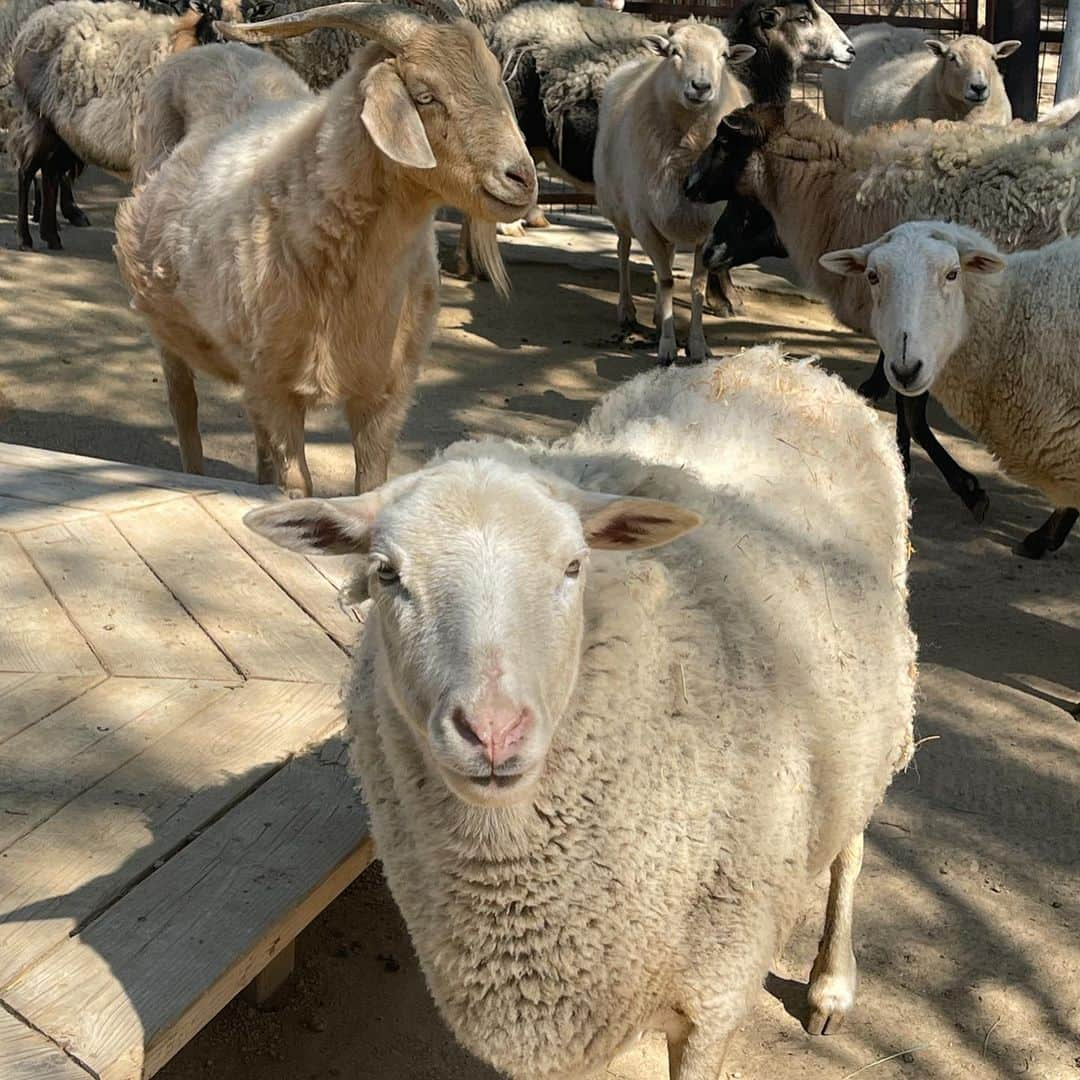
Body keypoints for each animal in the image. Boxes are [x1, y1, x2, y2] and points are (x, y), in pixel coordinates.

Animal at [245, 343, 920, 1080]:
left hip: (871, 725)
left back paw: (832, 984)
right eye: (387, 574)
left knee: (852, 846)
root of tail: (776, 363)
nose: (492, 732)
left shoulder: (715, 998)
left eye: (574, 566)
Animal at [591, 19, 751, 365]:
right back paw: (627, 310)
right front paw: (667, 346)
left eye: (724, 55)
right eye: (674, 51)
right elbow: (665, 281)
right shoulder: (644, 220)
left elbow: (696, 286)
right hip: (621, 210)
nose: (701, 86)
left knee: (666, 256)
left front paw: (697, 345)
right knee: (623, 250)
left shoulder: (707, 224)